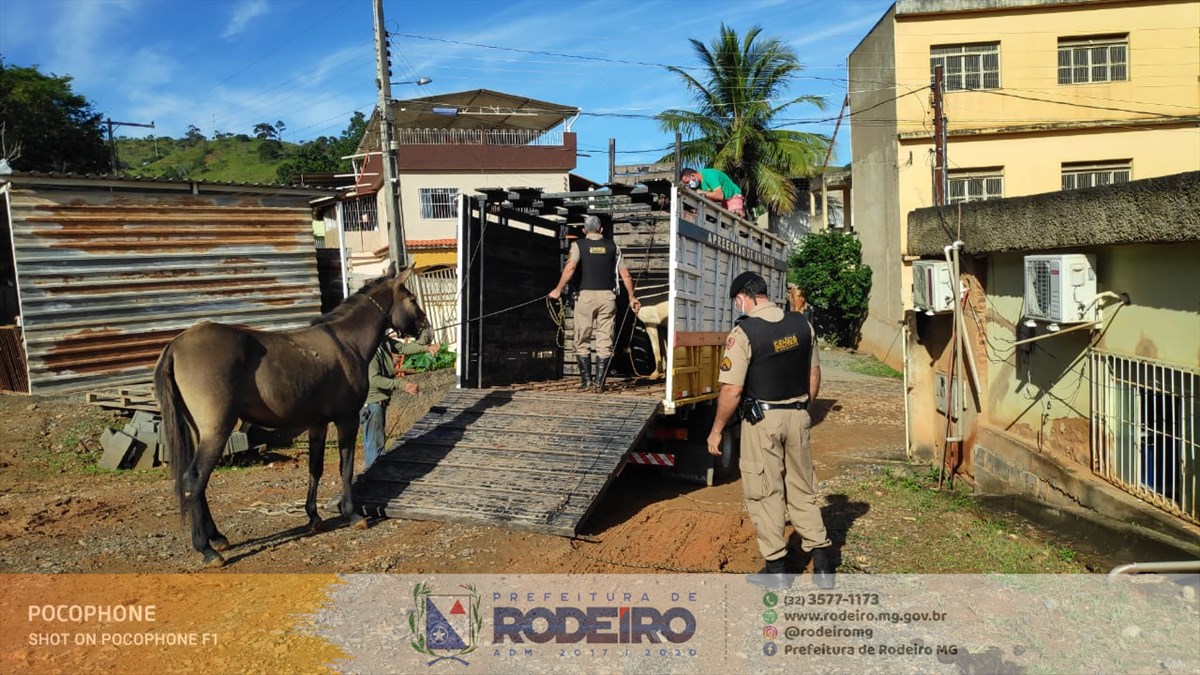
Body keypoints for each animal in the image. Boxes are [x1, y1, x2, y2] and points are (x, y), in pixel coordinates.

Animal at [152, 265, 429, 564]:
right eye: (412, 299)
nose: (426, 331)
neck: (346, 342)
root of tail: (176, 346)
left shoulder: (318, 423)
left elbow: (315, 469)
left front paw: (314, 517)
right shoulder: (347, 419)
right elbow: (345, 467)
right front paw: (353, 514)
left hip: (197, 431)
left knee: (197, 483)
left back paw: (217, 538)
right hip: (216, 430)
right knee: (195, 479)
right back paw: (206, 548)